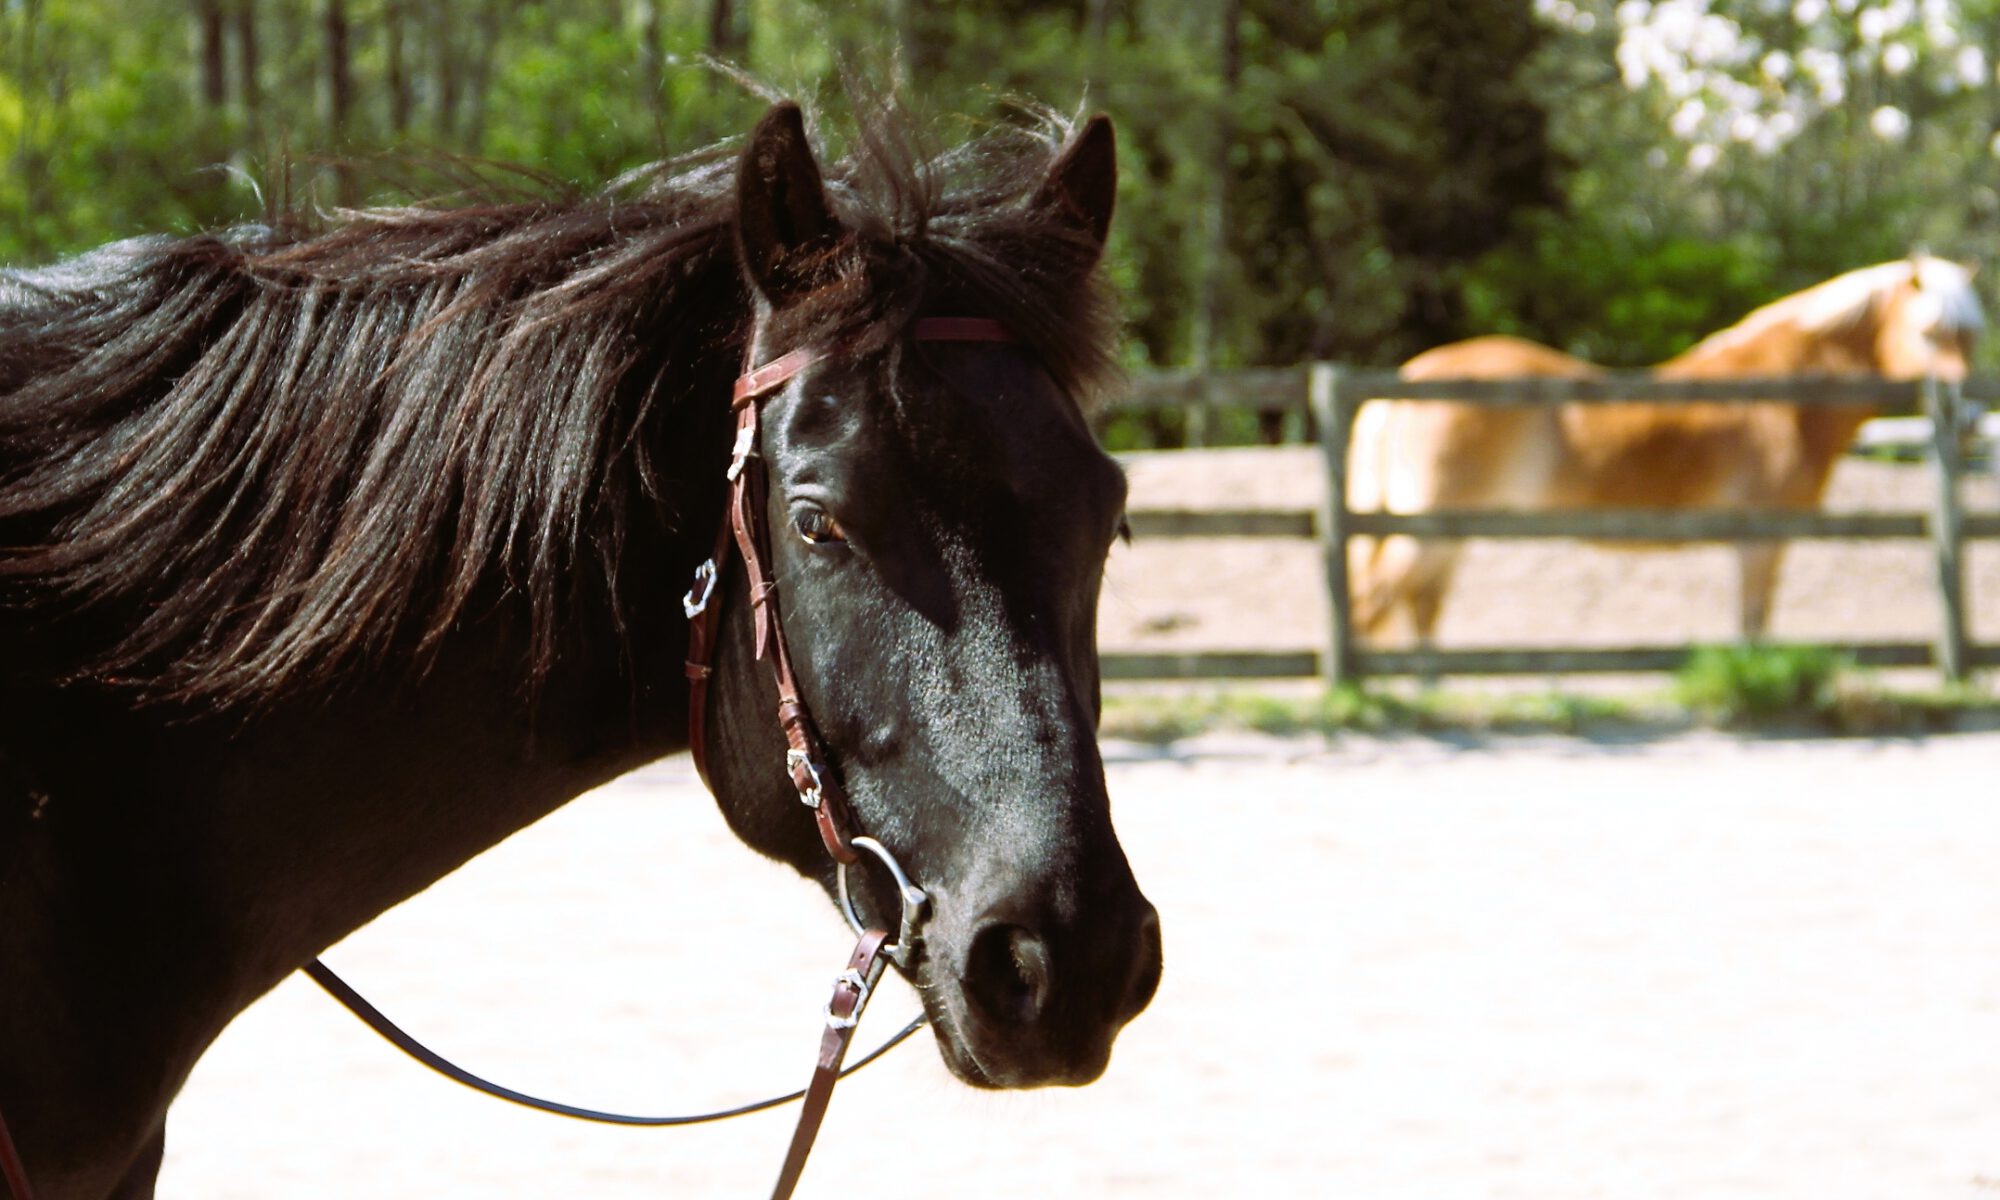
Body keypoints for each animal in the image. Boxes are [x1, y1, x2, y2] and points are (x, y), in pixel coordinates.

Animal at [1344, 256, 1984, 644]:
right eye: (1930, 333)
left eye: (1972, 334)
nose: (1969, 416)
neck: (1786, 394)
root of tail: (1408, 378)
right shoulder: (1762, 538)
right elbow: (1754, 620)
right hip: (1427, 528)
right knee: (1375, 602)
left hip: (1448, 533)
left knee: (1420, 606)